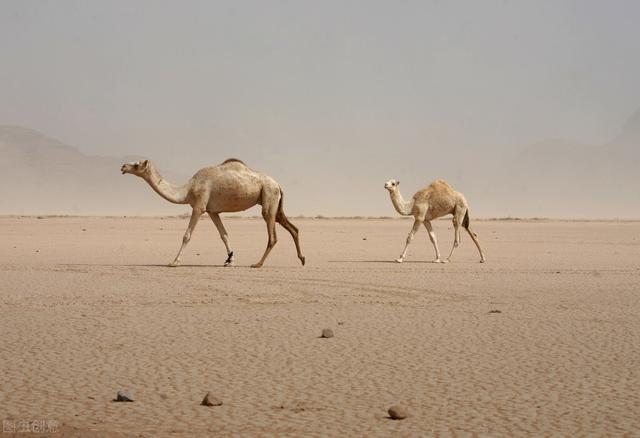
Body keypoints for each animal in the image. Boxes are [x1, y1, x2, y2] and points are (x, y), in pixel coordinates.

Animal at [123, 157, 308, 266]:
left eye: (137, 164)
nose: (123, 167)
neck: (188, 189)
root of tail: (278, 184)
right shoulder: (212, 211)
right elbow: (224, 234)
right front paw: (229, 259)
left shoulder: (199, 206)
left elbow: (187, 235)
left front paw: (174, 261)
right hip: (275, 203)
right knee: (293, 228)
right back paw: (302, 259)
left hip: (269, 197)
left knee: (272, 236)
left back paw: (258, 264)